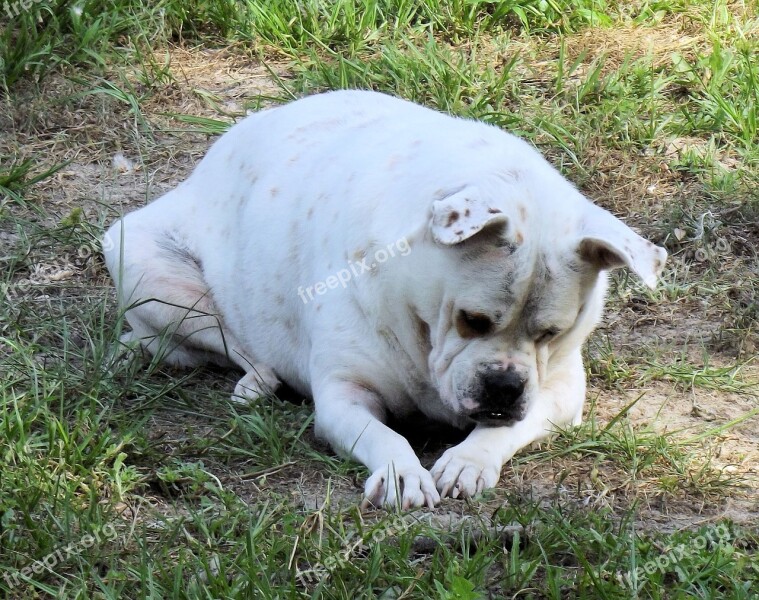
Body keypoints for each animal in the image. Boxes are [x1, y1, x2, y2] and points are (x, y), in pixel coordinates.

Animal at [105, 91, 664, 508]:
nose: (504, 386)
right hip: (147, 267)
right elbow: (386, 437)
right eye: (472, 320)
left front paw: (469, 461)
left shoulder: (561, 392)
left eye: (551, 333)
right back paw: (252, 381)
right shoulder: (342, 397)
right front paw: (401, 473)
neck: (421, 323)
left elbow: (504, 431)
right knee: (233, 346)